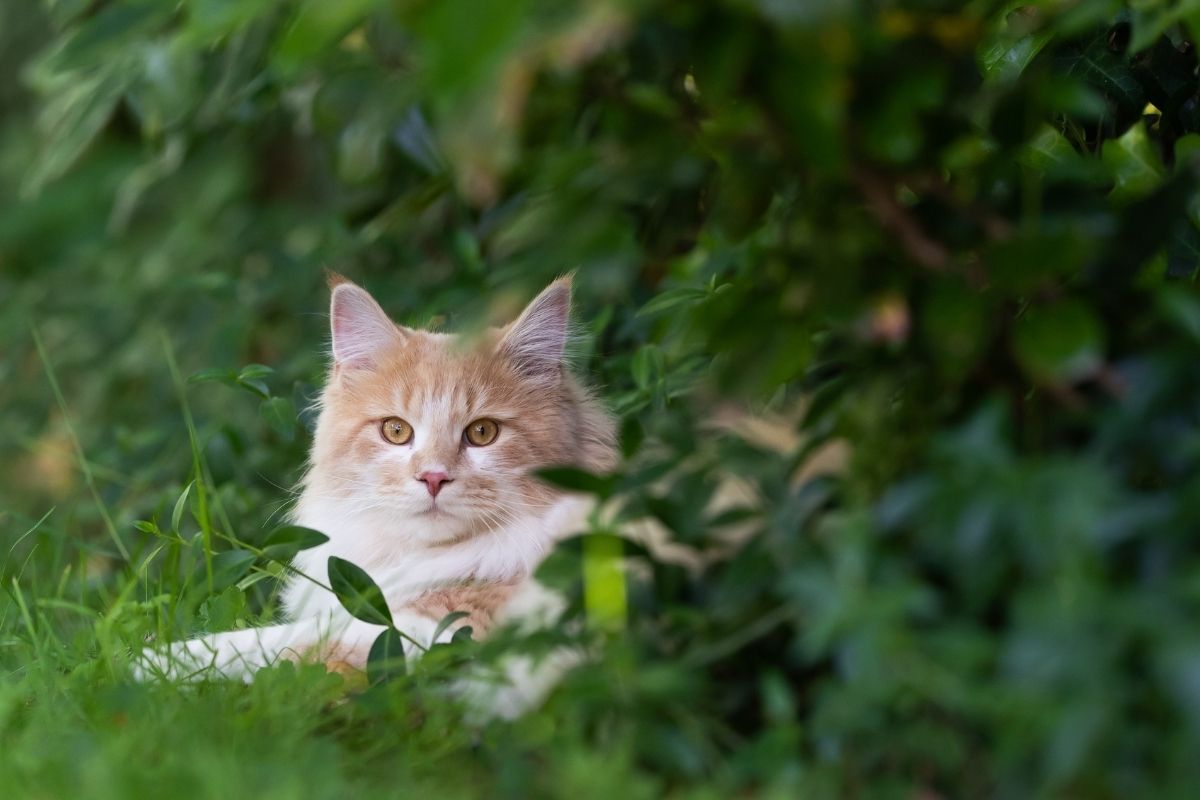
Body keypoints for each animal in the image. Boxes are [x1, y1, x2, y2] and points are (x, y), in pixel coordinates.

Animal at [136, 275, 614, 700]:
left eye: (482, 433)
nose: (433, 477)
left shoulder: (440, 630)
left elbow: (263, 647)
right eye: (396, 431)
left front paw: (144, 665)